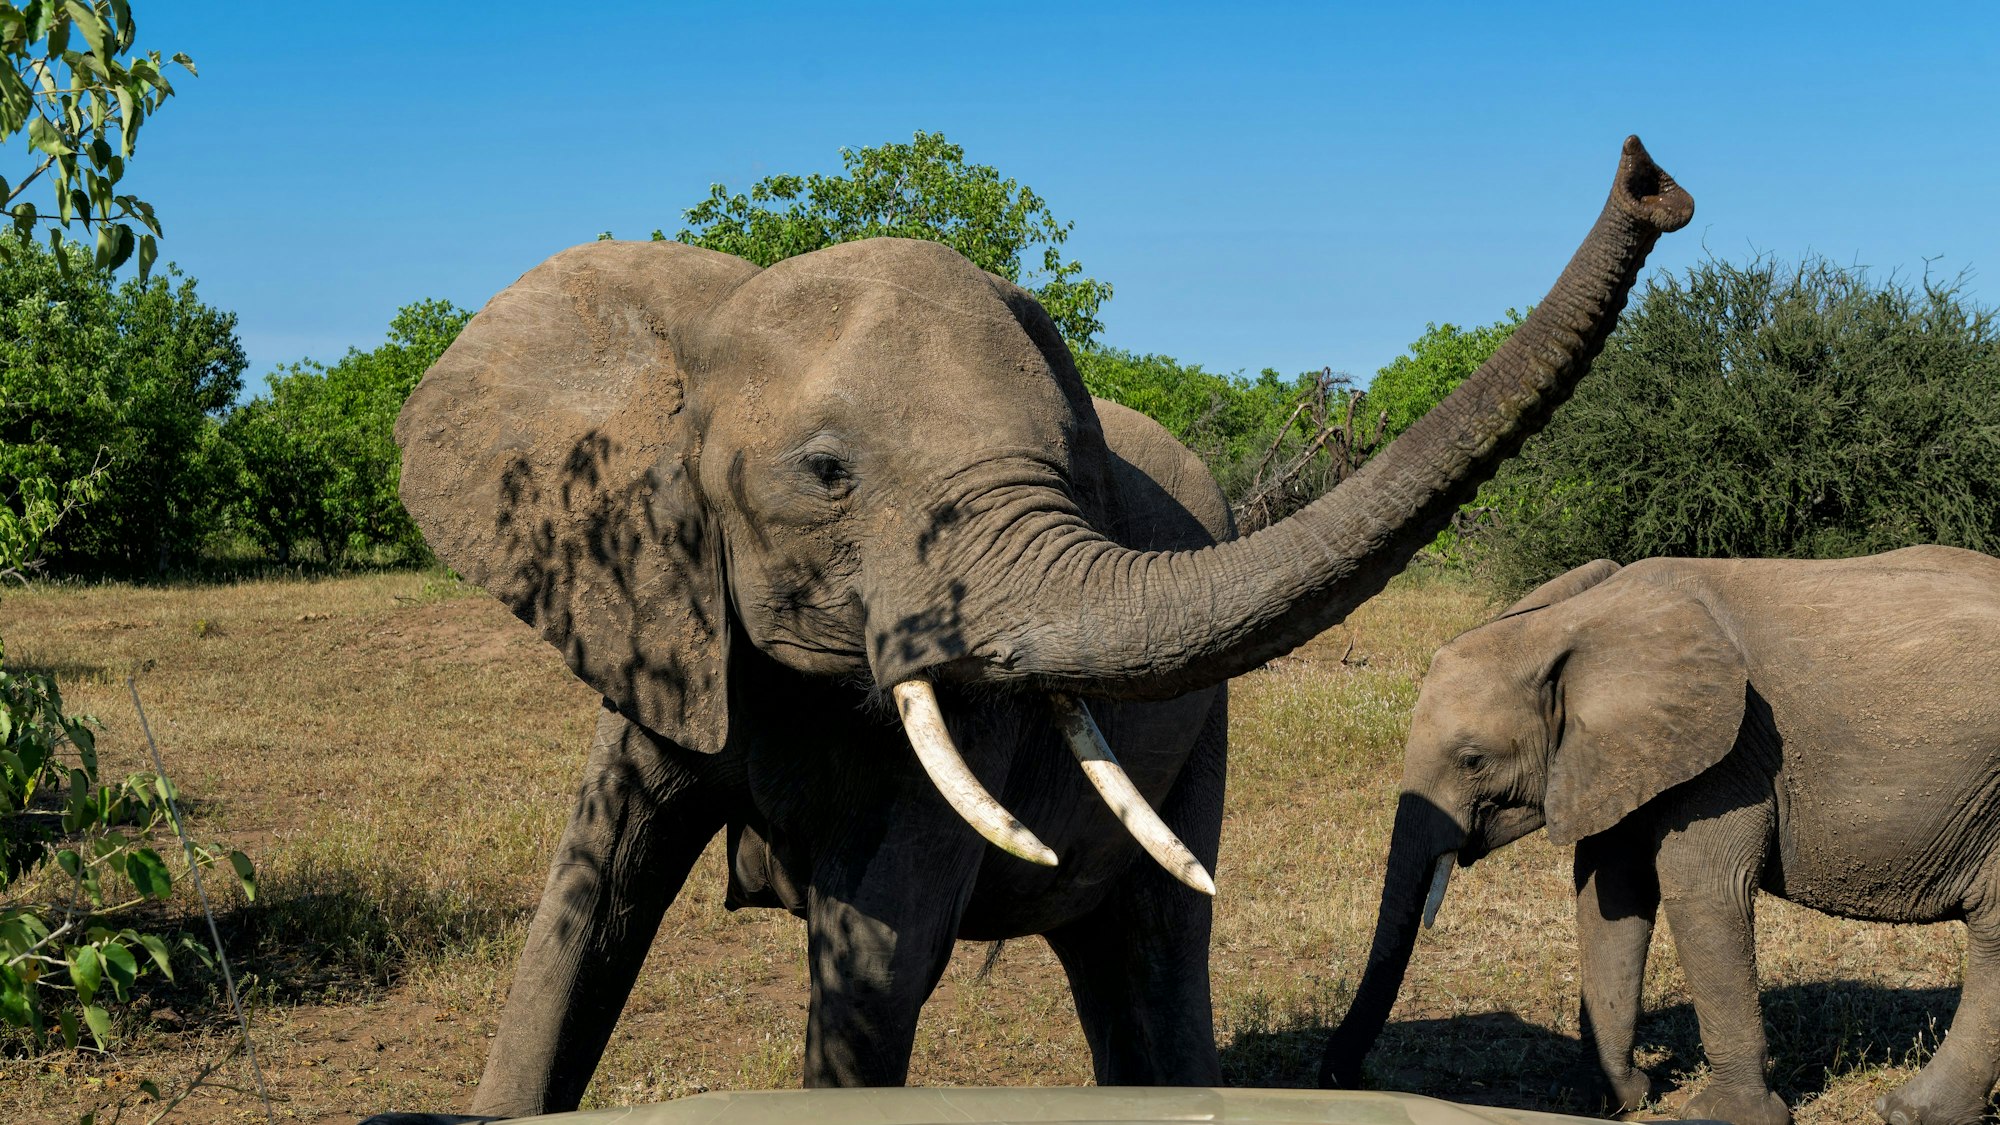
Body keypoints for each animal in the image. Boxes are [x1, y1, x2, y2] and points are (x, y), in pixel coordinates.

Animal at [388, 137, 1691, 1118]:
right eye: (825, 473)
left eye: (1075, 471)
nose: (1652, 182)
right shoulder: (663, 620)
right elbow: (591, 895)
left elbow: (878, 950)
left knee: (1155, 947)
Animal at [1320, 546, 2000, 1125]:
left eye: (1471, 760)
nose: (1340, 1079)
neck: (1576, 625)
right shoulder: (1617, 754)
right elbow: (1609, 895)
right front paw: (1620, 1098)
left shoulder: (1731, 753)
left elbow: (1701, 891)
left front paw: (1718, 1117)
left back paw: (1909, 1114)